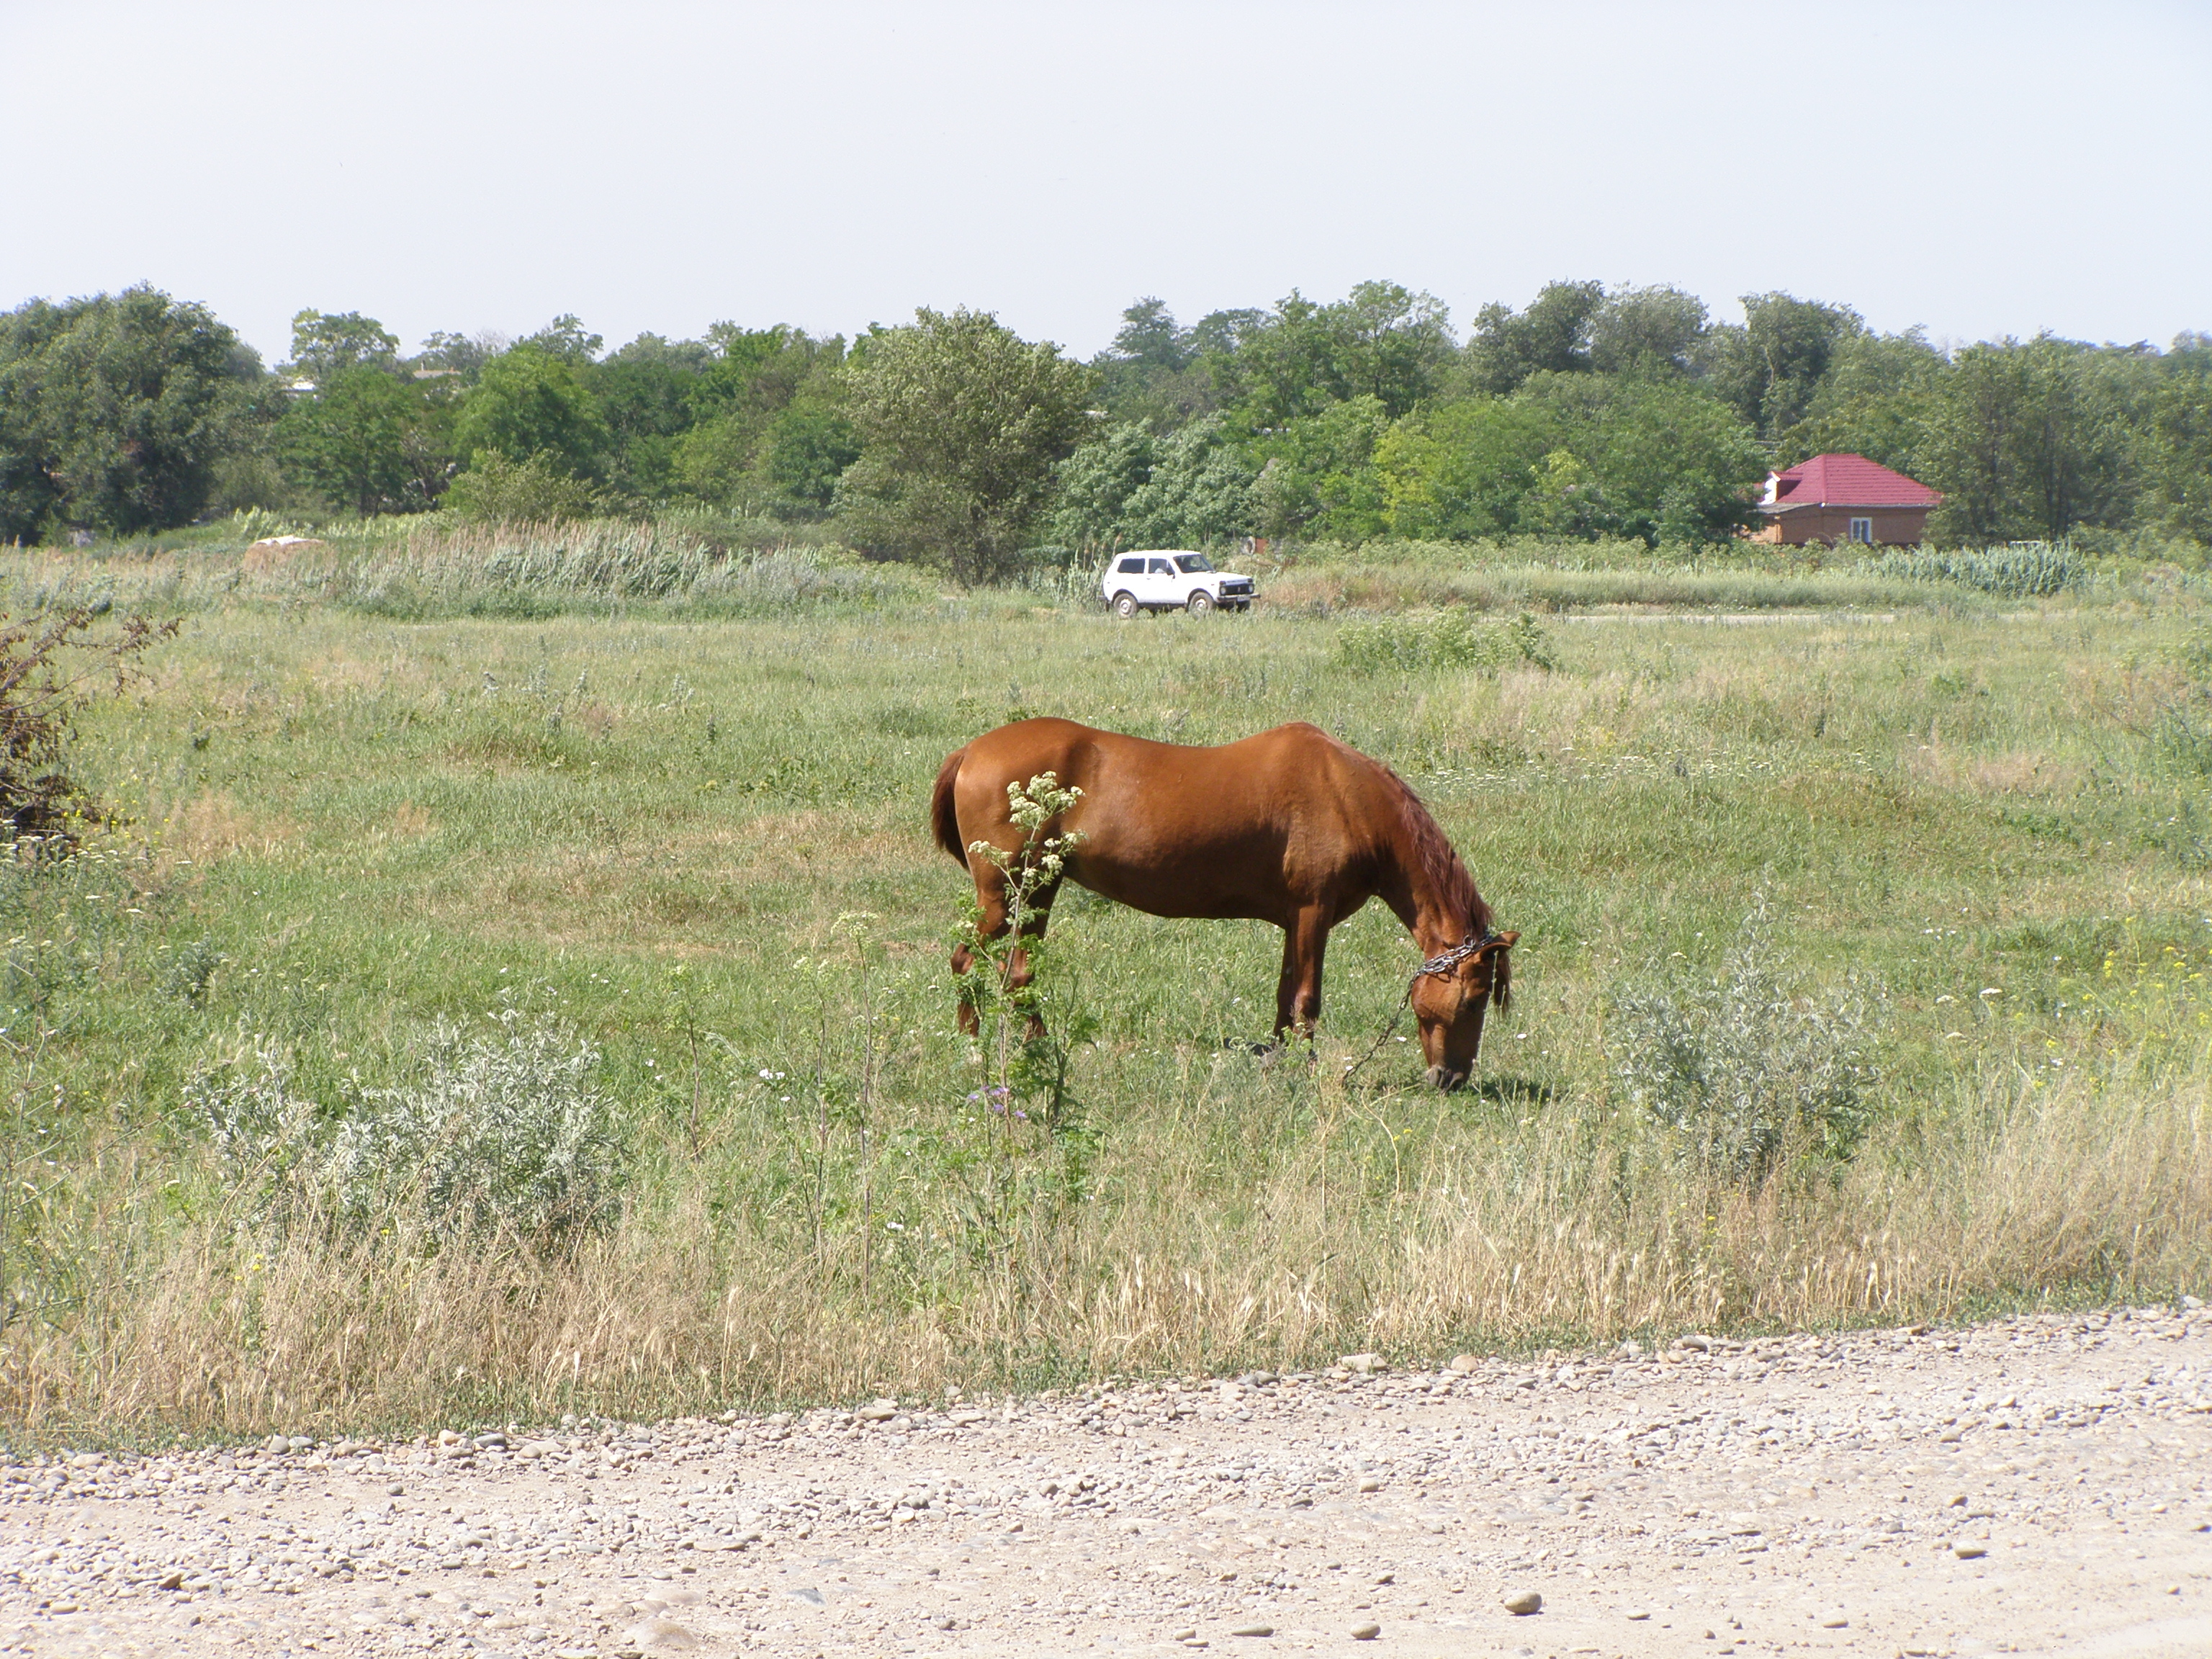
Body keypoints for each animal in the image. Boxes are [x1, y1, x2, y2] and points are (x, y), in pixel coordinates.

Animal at [925, 716, 1513, 1092]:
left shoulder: (1294, 920)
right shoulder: (1313, 914)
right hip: (1005, 897)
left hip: (1040, 891)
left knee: (1018, 974)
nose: (1451, 1080)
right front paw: (1302, 1069)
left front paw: (1276, 1060)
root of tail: (971, 752)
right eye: (1473, 1000)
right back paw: (975, 1048)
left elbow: (1284, 997)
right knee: (968, 962)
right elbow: (1307, 1001)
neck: (1347, 795)